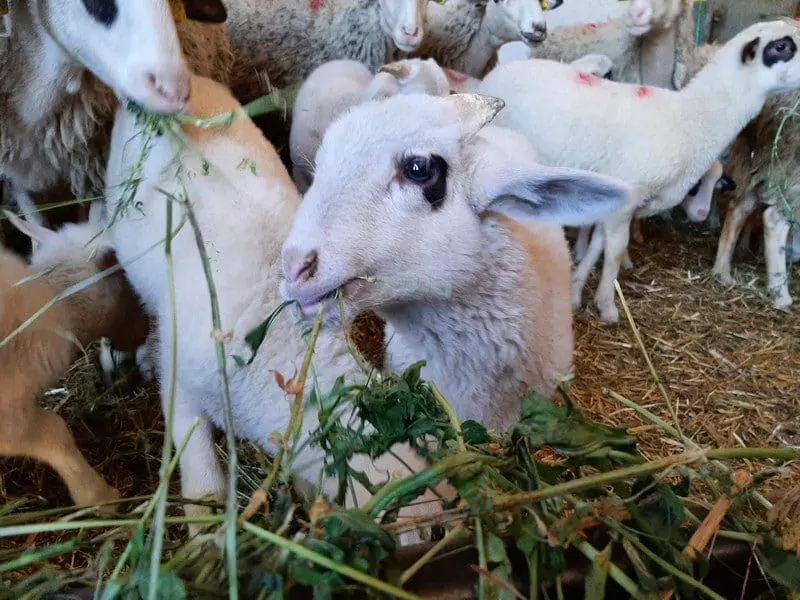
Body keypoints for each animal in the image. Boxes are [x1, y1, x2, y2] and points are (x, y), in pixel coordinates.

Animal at [478, 21, 800, 324]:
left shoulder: (614, 204)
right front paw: (607, 307)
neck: (689, 120)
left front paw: (576, 293)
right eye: (781, 47)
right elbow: (615, 251)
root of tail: (493, 77)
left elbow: (597, 246)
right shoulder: (628, 196)